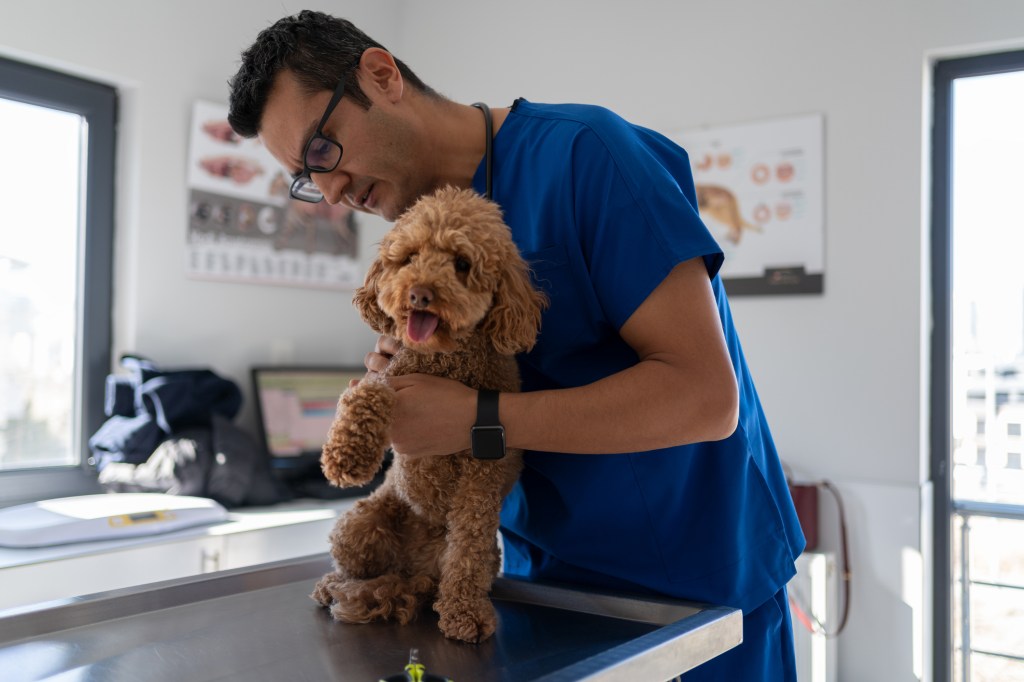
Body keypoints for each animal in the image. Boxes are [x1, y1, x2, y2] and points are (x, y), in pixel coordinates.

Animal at [311, 187, 548, 643]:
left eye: (462, 264)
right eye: (409, 257)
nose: (419, 293)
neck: (445, 358)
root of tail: (410, 569)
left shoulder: (481, 481)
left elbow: (468, 552)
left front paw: (465, 613)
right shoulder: (387, 373)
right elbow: (365, 395)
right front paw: (346, 457)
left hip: (460, 557)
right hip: (359, 523)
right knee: (358, 569)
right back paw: (333, 584)